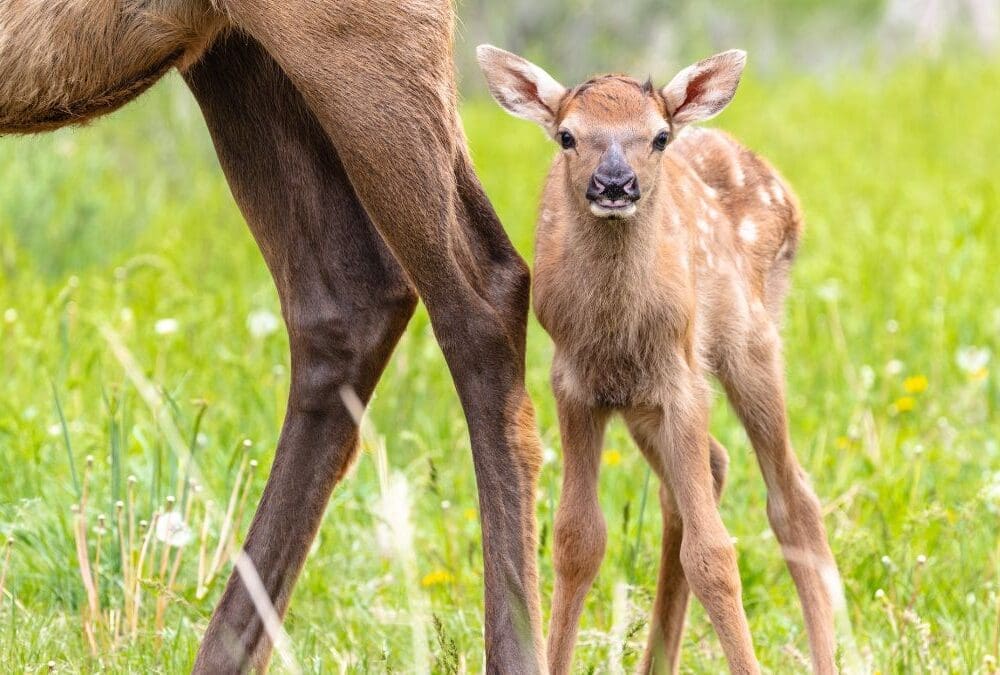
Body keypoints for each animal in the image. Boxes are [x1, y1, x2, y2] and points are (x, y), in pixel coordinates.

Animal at [477, 46, 844, 674]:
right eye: (568, 135)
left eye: (659, 136)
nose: (614, 184)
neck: (615, 326)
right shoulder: (574, 385)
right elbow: (577, 539)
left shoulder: (682, 379)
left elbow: (714, 553)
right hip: (643, 403)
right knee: (704, 475)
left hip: (751, 343)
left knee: (792, 498)